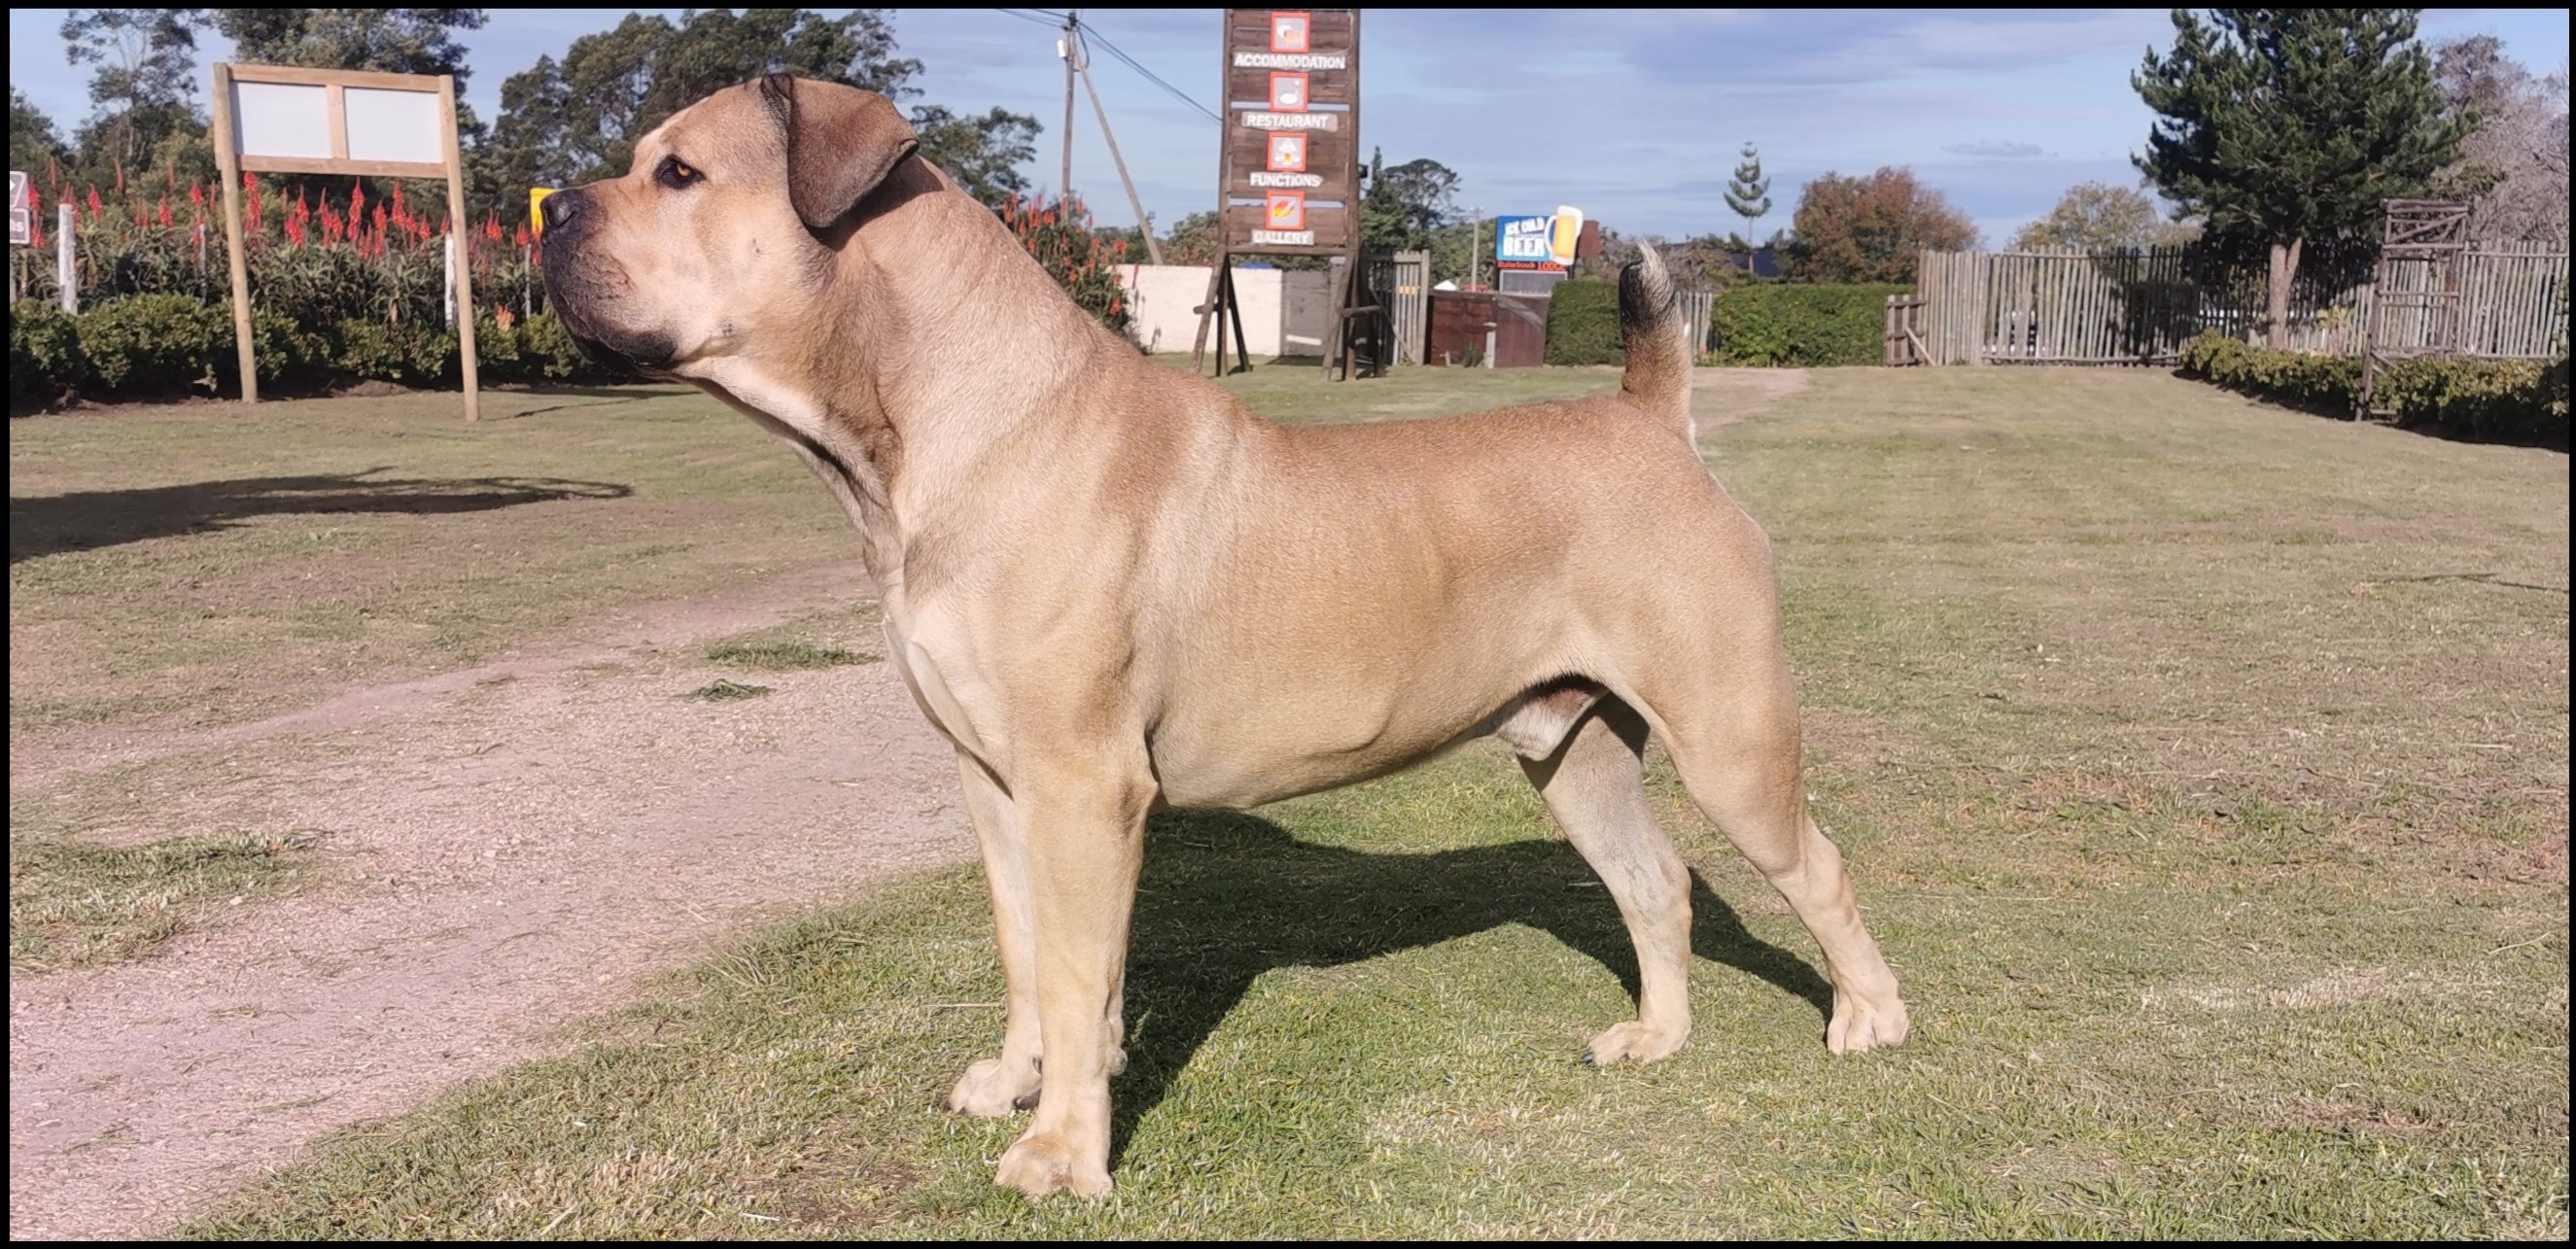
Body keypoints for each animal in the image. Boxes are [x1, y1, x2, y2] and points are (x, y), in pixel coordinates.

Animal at [538, 73, 1916, 1195]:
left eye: (677, 173)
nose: (550, 212)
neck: (942, 421)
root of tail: (1647, 415)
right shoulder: (995, 782)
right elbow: (1028, 952)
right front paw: (1019, 1081)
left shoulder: (1084, 785)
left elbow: (1078, 968)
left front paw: (1060, 1152)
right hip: (1569, 748)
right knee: (1653, 884)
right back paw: (1659, 1036)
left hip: (1730, 734)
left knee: (1817, 868)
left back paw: (1871, 1020)